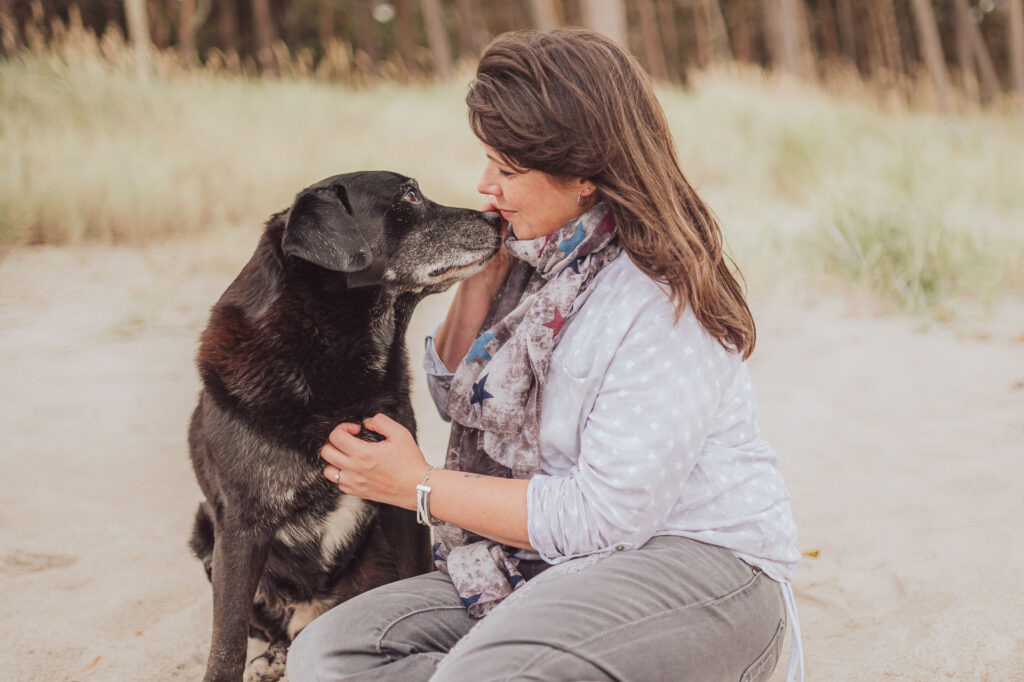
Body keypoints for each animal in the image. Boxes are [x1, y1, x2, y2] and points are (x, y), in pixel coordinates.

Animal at [189, 169, 503, 679]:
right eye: (409, 196)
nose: (498, 220)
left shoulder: (401, 506)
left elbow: (412, 572)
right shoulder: (240, 527)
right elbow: (227, 642)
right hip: (205, 533)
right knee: (276, 631)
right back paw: (274, 657)